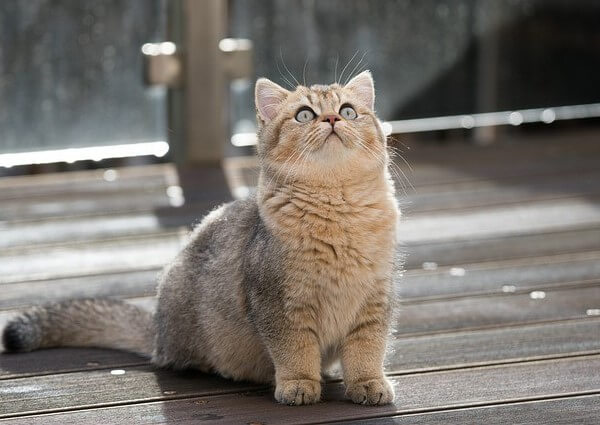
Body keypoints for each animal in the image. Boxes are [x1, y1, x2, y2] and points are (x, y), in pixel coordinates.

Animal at [4, 71, 400, 406]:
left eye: (348, 111)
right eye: (304, 115)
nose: (332, 120)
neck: (338, 209)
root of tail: (158, 332)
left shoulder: (375, 300)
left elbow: (367, 349)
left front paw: (368, 383)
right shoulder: (278, 304)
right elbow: (294, 350)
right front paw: (298, 384)